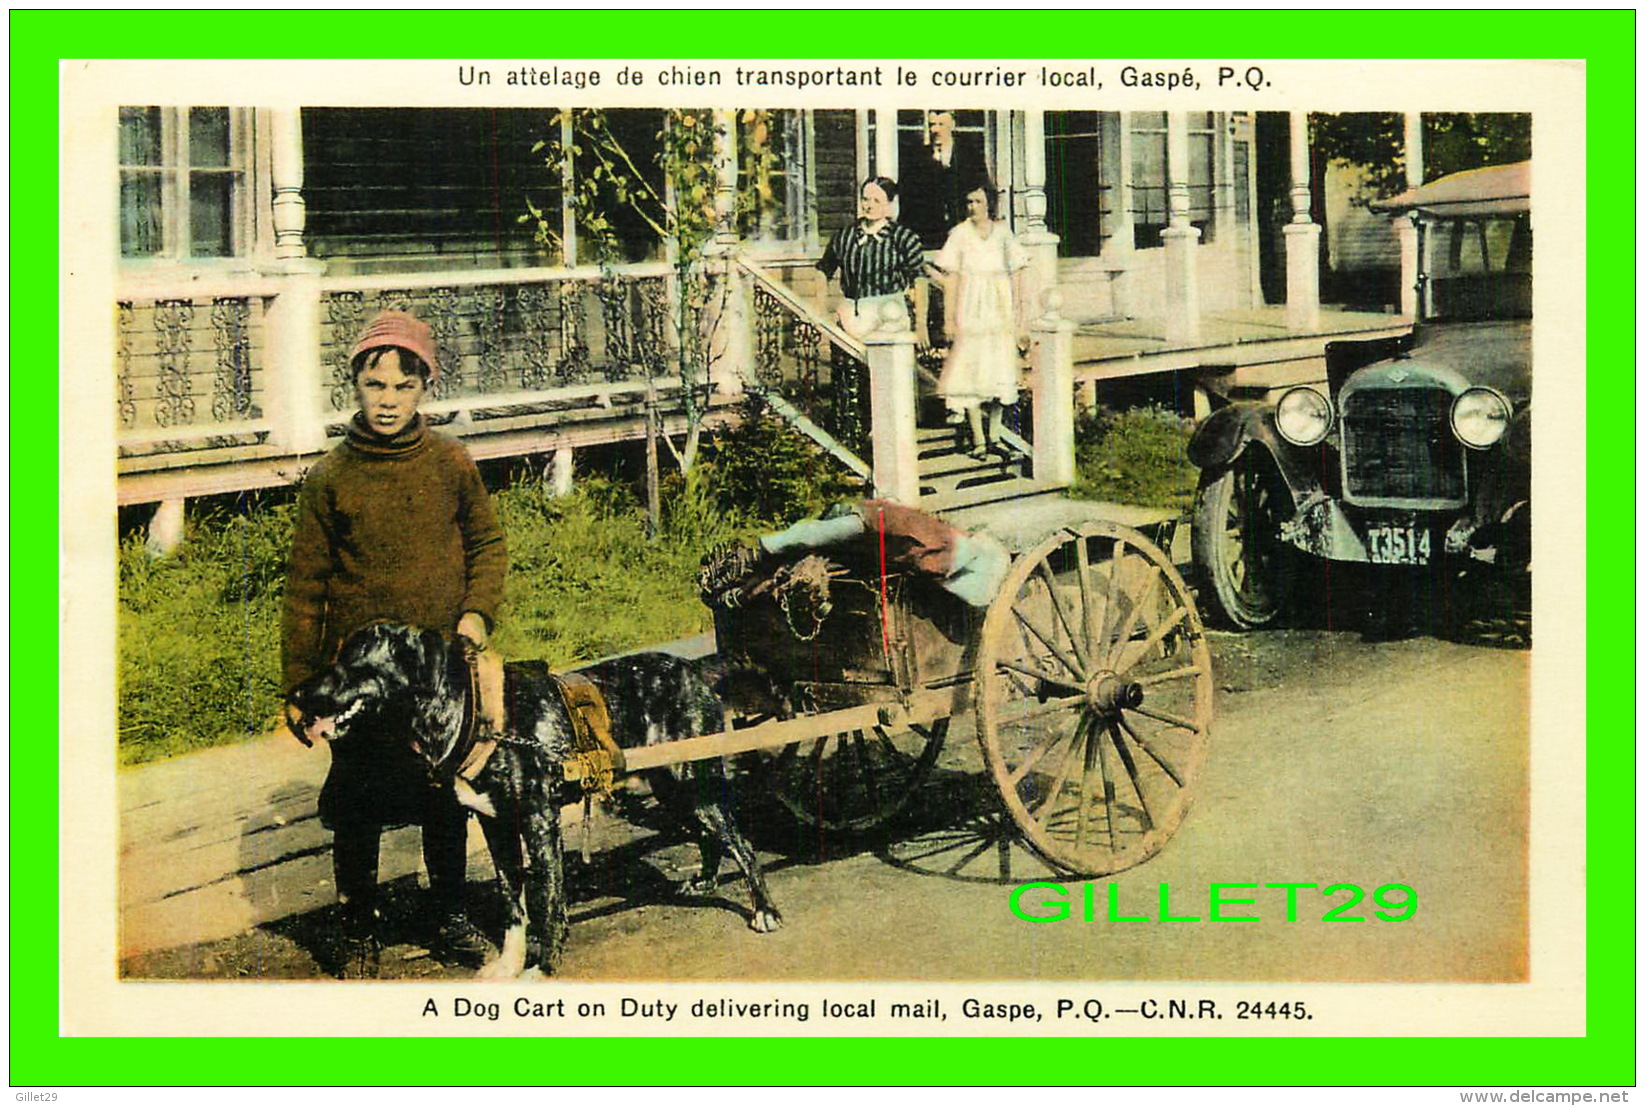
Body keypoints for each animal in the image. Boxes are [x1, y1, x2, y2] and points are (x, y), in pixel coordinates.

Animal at [289, 622, 783, 974]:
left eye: (351, 662)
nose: (294, 695)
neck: (478, 717)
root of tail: (694, 669)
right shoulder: (497, 828)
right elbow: (512, 907)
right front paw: (508, 966)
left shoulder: (540, 823)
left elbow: (547, 905)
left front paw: (544, 968)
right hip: (672, 787)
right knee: (711, 838)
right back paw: (704, 881)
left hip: (693, 783)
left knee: (741, 844)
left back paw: (765, 910)